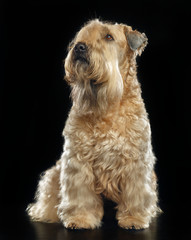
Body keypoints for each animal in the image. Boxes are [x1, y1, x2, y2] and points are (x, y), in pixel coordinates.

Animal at [27, 18, 161, 229]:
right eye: (82, 35)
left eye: (108, 36)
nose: (80, 47)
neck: (107, 109)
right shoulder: (77, 161)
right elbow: (80, 195)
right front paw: (80, 219)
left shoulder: (136, 163)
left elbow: (136, 193)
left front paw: (134, 219)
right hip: (55, 172)